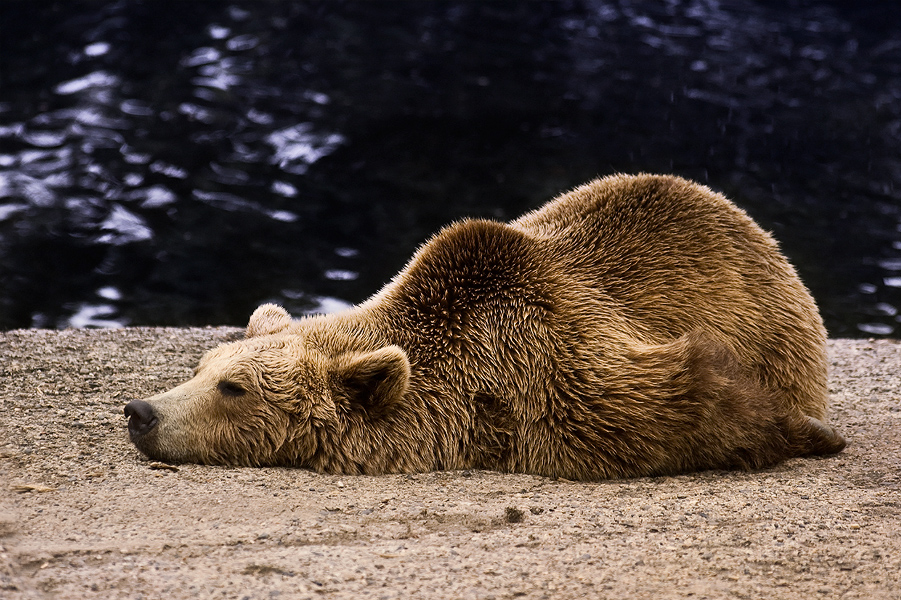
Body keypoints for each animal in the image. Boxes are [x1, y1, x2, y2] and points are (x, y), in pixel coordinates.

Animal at [125, 172, 844, 478]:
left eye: (234, 389)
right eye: (201, 368)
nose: (141, 411)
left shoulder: (556, 361)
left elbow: (677, 400)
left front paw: (809, 435)